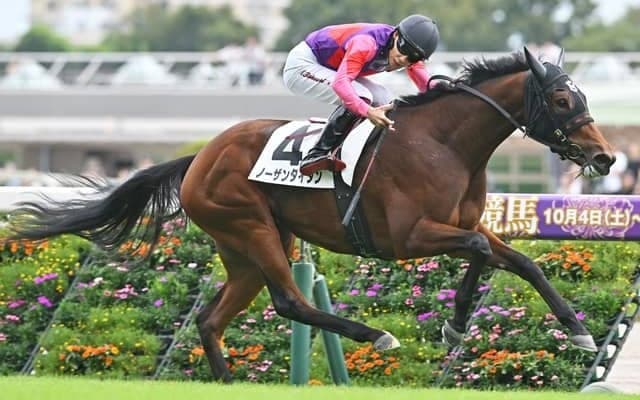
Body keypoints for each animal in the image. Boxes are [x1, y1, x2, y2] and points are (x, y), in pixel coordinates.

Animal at [9, 48, 615, 382]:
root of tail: (198, 157)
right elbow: (484, 252)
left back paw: (227, 381)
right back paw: (375, 336)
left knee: (211, 318)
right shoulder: (409, 237)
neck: (443, 144)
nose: (606, 156)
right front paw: (456, 320)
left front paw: (579, 333)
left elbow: (518, 260)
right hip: (251, 227)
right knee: (289, 301)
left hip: (245, 249)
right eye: (563, 100)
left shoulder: (466, 223)